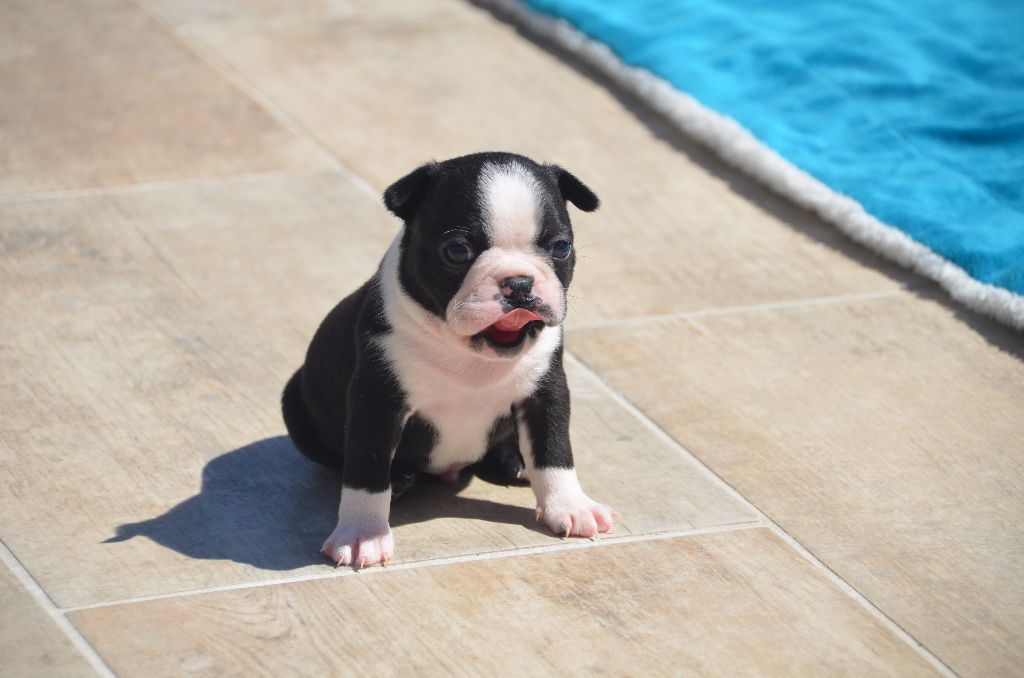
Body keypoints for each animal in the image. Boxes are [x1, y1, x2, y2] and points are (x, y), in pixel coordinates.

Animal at [282, 152, 615, 569]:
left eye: (561, 248)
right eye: (457, 251)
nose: (519, 283)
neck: (470, 353)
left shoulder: (546, 393)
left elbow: (555, 452)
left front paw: (570, 507)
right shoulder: (377, 402)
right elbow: (366, 470)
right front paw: (362, 535)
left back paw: (515, 460)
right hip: (294, 401)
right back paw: (401, 477)